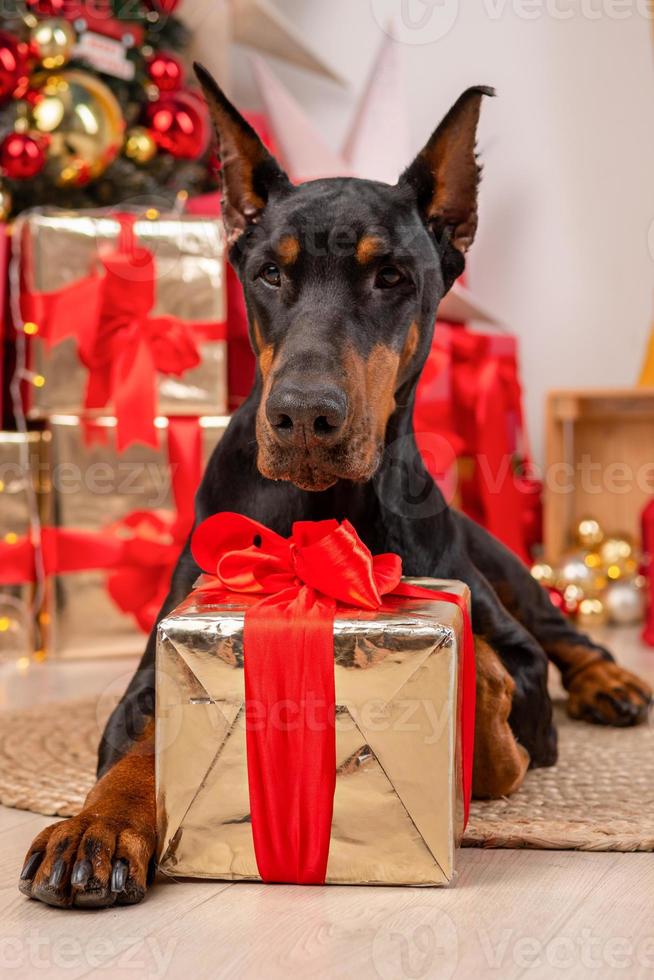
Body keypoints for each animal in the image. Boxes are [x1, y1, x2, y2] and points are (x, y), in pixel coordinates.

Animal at [19, 67, 652, 912]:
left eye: (392, 276)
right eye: (270, 272)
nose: (304, 416)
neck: (324, 507)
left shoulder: (521, 677)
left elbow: (495, 698)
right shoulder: (149, 675)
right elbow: (145, 745)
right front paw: (97, 826)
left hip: (505, 561)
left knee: (563, 630)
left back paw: (610, 680)